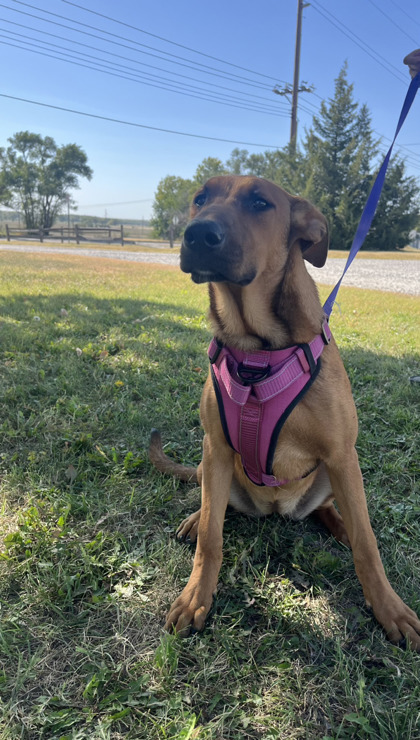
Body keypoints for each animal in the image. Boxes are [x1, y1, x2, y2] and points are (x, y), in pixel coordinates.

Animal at [151, 175, 420, 648]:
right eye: (200, 199)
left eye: (261, 203)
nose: (198, 235)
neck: (257, 350)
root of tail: (278, 510)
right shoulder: (216, 446)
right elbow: (211, 539)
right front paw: (195, 596)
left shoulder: (342, 453)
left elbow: (368, 545)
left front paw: (390, 610)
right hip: (213, 465)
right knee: (212, 505)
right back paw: (196, 516)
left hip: (336, 473)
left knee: (330, 511)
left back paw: (340, 525)